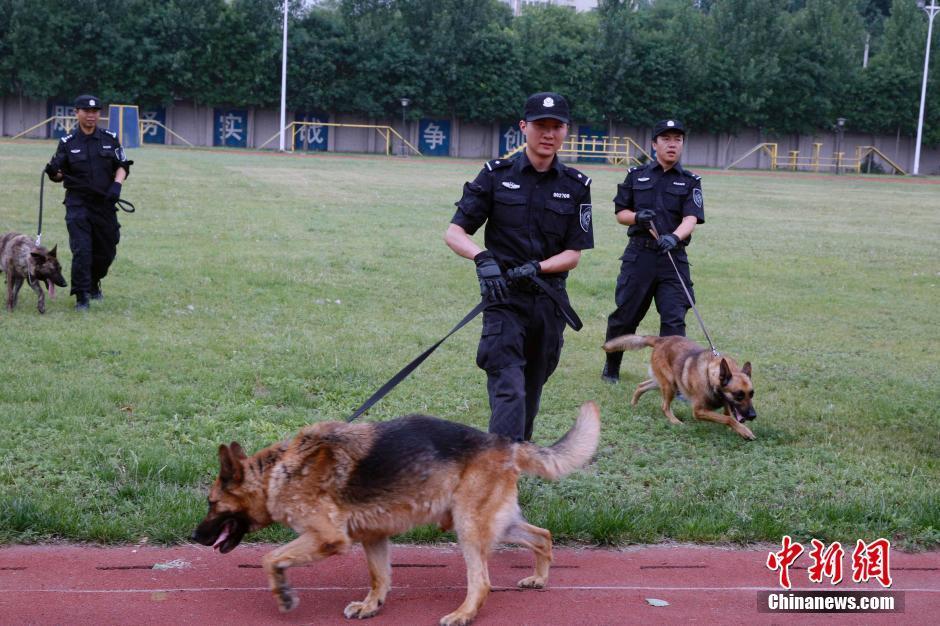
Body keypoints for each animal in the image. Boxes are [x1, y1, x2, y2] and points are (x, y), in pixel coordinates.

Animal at [192, 400, 604, 624]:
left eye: (211, 504)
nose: (194, 537)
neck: (279, 471)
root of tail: (505, 442)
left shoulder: (326, 537)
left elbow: (269, 558)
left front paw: (283, 594)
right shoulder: (373, 537)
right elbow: (379, 577)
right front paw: (371, 606)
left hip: (469, 528)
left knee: (482, 581)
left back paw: (465, 614)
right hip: (495, 524)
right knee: (543, 536)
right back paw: (540, 579)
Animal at [604, 336, 756, 438]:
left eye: (751, 394)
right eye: (739, 395)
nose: (753, 416)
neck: (709, 375)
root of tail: (661, 340)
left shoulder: (726, 404)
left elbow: (729, 416)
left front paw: (739, 429)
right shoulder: (698, 411)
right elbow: (728, 419)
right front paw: (745, 431)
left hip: (663, 383)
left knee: (641, 386)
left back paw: (634, 404)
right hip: (670, 385)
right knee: (664, 406)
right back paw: (675, 421)